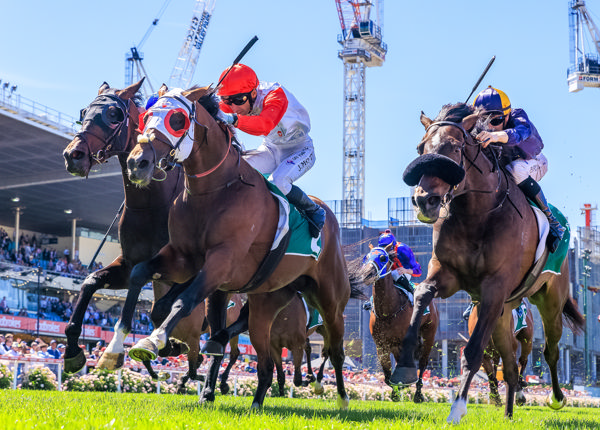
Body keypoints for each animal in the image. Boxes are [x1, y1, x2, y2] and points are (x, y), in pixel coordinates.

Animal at [124, 85, 354, 410]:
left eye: (177, 119)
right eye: (145, 117)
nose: (137, 163)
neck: (215, 190)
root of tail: (331, 218)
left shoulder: (222, 260)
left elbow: (183, 301)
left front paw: (152, 342)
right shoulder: (183, 258)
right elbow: (144, 279)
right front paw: (135, 339)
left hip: (331, 302)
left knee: (334, 350)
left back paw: (340, 397)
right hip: (266, 301)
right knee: (262, 359)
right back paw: (242, 394)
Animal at [350, 245, 438, 404]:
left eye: (383, 258)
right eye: (366, 257)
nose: (366, 274)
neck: (388, 310)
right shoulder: (381, 344)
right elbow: (387, 376)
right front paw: (397, 392)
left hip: (429, 334)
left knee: (423, 364)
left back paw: (418, 395)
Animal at [394, 102, 584, 422]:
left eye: (456, 148)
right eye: (421, 148)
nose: (425, 200)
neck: (477, 213)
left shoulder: (494, 287)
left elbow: (472, 351)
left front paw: (457, 407)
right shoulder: (448, 274)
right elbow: (421, 294)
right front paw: (404, 363)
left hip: (549, 300)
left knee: (551, 350)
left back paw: (557, 398)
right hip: (504, 313)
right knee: (509, 365)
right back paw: (507, 412)